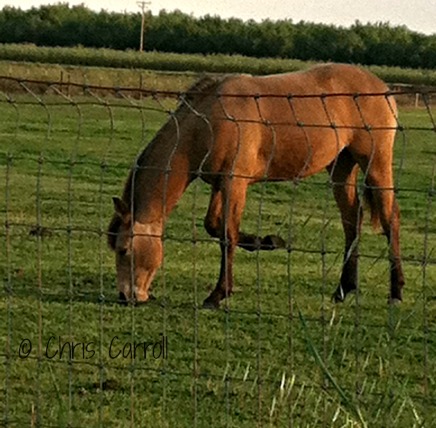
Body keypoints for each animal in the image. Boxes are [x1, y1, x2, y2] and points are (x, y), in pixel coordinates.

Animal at [108, 62, 406, 308]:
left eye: (124, 250)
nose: (126, 296)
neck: (209, 121)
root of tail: (383, 88)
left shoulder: (234, 183)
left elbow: (227, 235)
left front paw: (218, 295)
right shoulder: (220, 184)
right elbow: (214, 226)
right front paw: (268, 241)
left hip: (375, 164)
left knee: (390, 218)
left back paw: (396, 292)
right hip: (341, 167)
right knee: (351, 221)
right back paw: (344, 289)